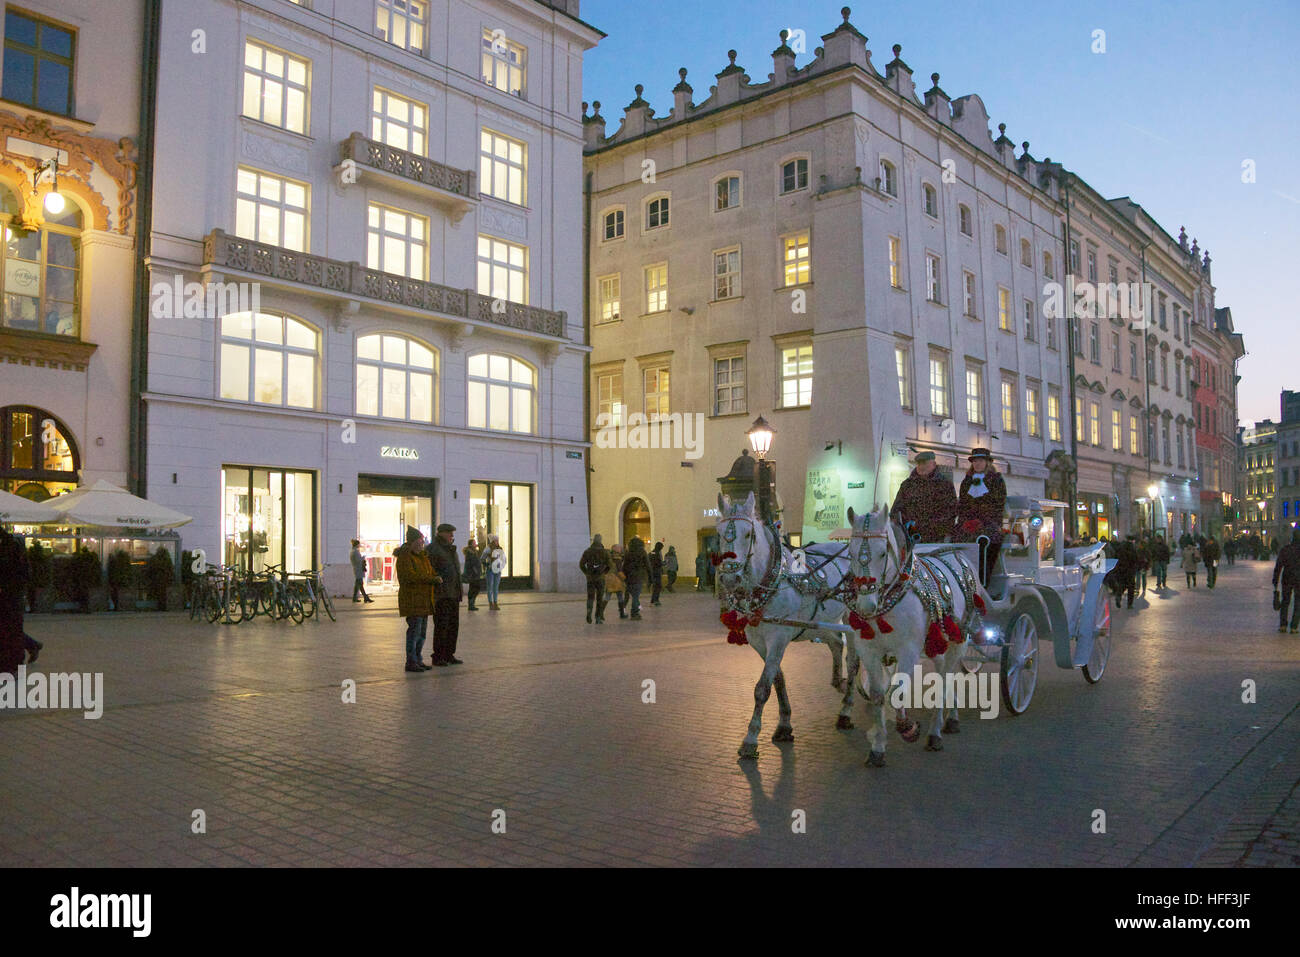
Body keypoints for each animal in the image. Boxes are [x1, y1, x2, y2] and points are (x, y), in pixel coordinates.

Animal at [717, 488, 857, 759]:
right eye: (718, 533)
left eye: (749, 534)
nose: (730, 577)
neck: (772, 579)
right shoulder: (759, 642)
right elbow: (778, 680)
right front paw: (784, 724)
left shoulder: (778, 638)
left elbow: (762, 688)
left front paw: (750, 738)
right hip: (822, 621)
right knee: (836, 642)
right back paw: (838, 680)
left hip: (855, 621)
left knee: (855, 662)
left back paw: (847, 710)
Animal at [842, 504, 982, 764]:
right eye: (851, 553)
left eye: (883, 554)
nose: (866, 606)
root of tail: (956, 554)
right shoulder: (869, 649)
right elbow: (878, 695)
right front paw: (878, 747)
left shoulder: (908, 649)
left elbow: (896, 692)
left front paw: (907, 728)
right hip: (937, 643)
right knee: (944, 675)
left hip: (959, 640)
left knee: (947, 678)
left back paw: (937, 731)